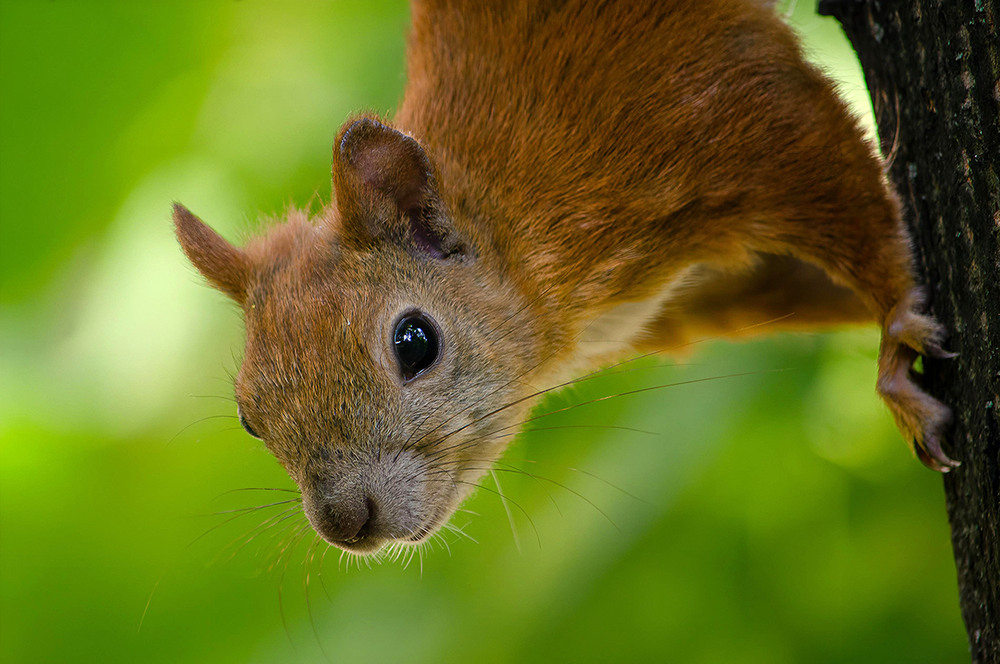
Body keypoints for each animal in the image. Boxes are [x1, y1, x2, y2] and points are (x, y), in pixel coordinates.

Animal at [176, 1, 956, 556]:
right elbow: (803, 288)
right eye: (249, 416)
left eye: (414, 342)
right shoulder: (702, 294)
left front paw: (894, 334)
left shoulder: (706, 108)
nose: (346, 520)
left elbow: (834, 177)